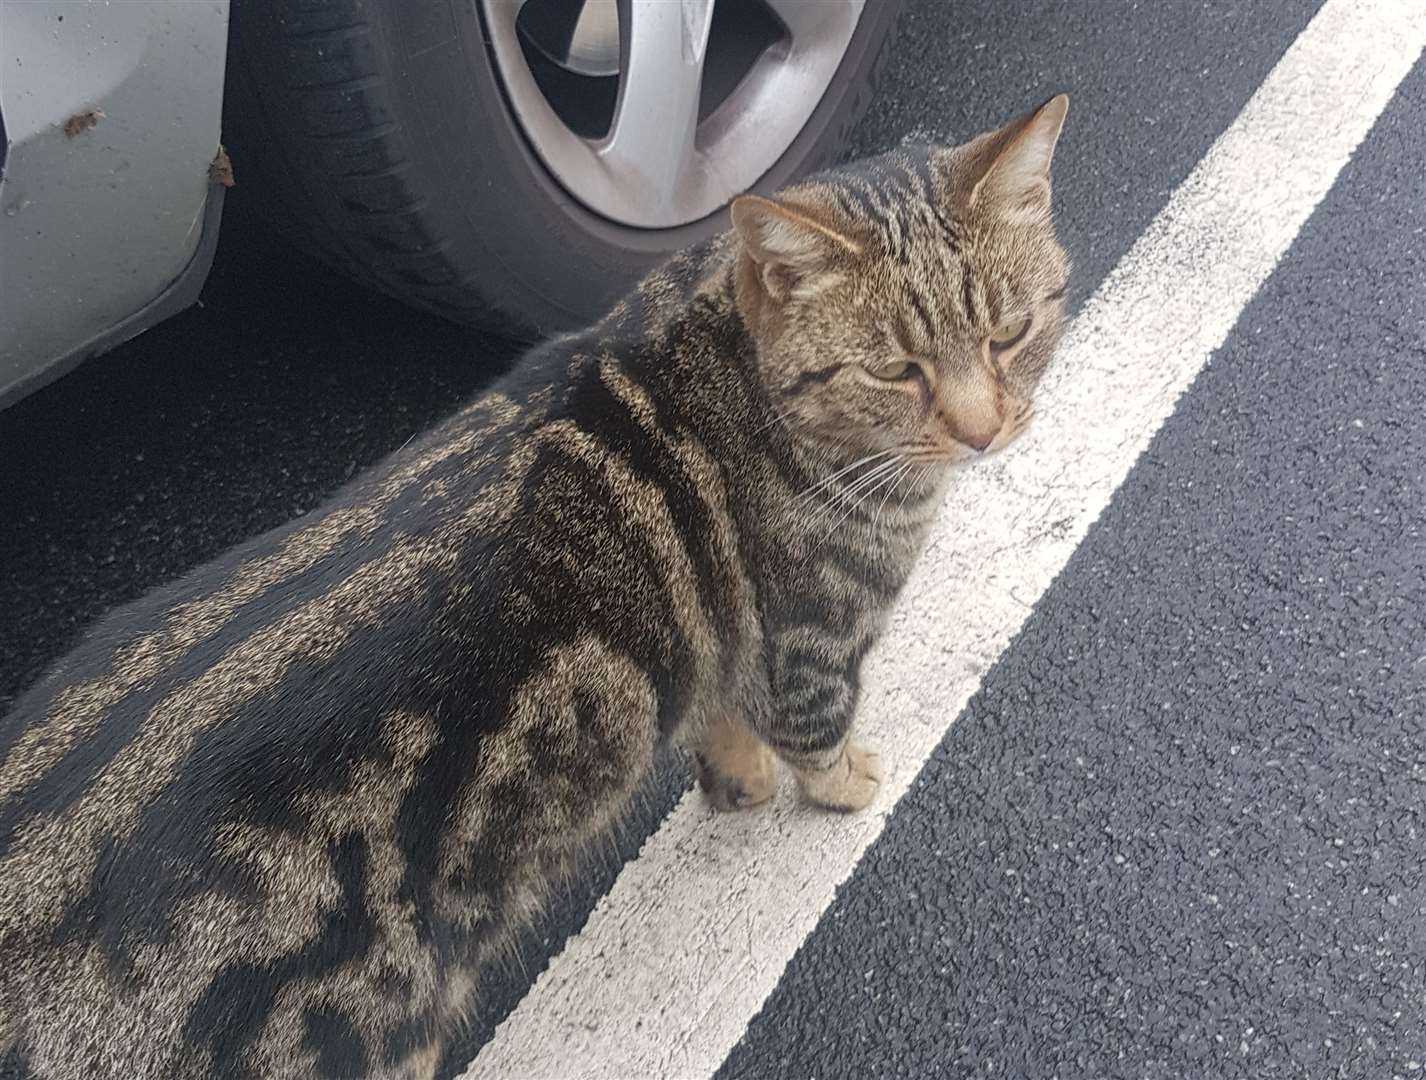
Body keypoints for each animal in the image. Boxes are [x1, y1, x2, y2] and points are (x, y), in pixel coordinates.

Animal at [0, 97, 1072, 1072]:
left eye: (1013, 332)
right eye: (895, 371)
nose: (985, 431)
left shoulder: (730, 647)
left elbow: (722, 712)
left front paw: (736, 779)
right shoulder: (810, 643)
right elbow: (816, 733)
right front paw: (848, 785)